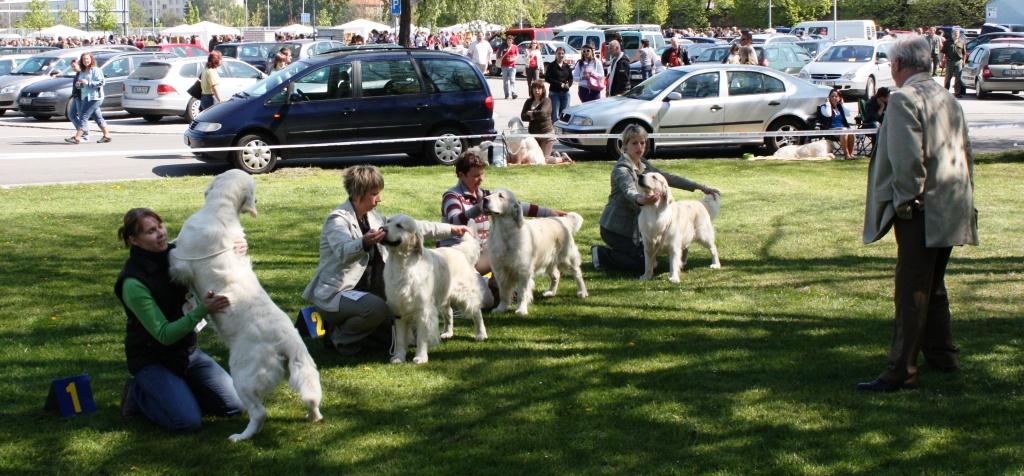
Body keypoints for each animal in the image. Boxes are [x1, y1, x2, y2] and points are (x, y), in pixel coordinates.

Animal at [167, 168, 321, 440]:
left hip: (242, 375)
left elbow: (172, 254)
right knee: (311, 397)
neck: (221, 209)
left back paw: (240, 437)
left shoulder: (181, 261)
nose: (257, 201)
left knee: (259, 413)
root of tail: (289, 340)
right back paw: (312, 416)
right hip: (301, 368)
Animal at [382, 213, 485, 364]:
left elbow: (421, 337)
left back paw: (481, 334)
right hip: (443, 295)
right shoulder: (399, 308)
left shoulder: (424, 310)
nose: (381, 229)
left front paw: (420, 357)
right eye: (388, 221)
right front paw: (398, 357)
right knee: (449, 312)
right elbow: (400, 339)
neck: (402, 264)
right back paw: (447, 332)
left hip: (465, 295)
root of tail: (457, 250)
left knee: (477, 312)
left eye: (399, 226)